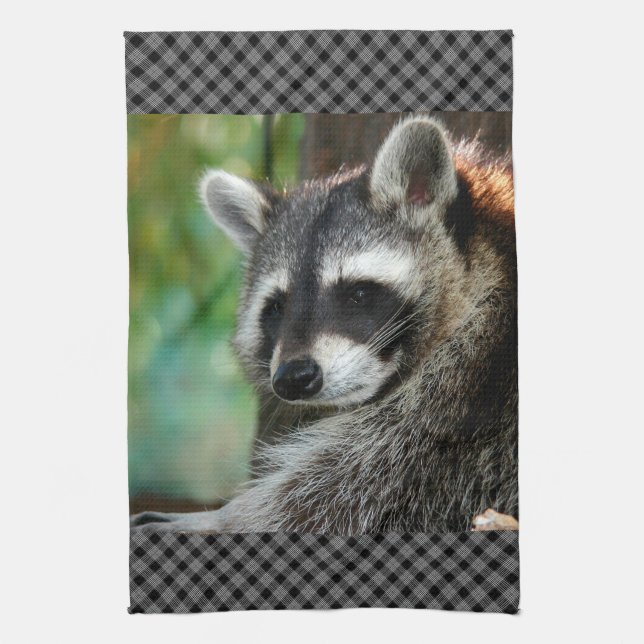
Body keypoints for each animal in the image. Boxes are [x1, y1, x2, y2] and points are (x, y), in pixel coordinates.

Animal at [131, 116, 518, 534]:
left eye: (358, 294)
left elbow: (340, 493)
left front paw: (221, 520)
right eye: (276, 307)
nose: (293, 378)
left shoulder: (466, 405)